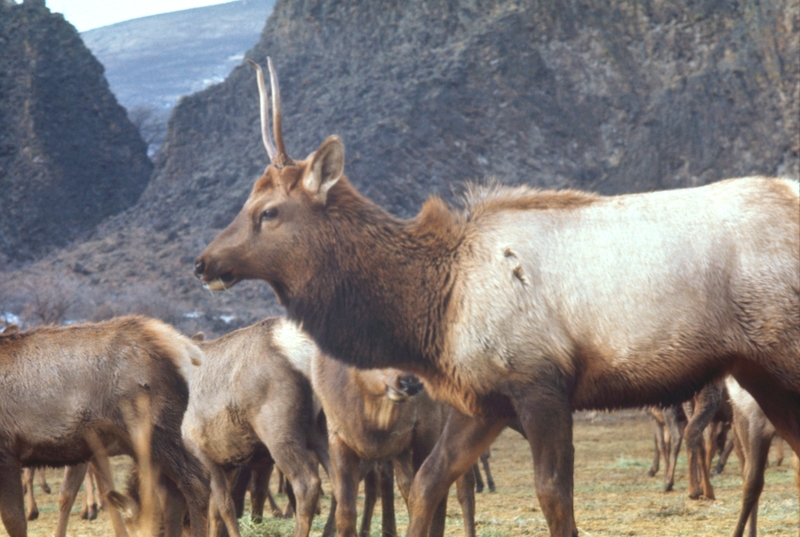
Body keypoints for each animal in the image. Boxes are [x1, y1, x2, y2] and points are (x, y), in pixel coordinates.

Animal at [0, 314, 209, 536]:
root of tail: (184, 347)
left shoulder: (7, 452)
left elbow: (14, 521)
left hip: (152, 431)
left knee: (196, 480)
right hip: (139, 444)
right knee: (171, 492)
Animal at [310, 352, 476, 536]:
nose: (411, 382)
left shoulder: (426, 429)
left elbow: (425, 492)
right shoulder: (339, 437)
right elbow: (345, 510)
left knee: (463, 486)